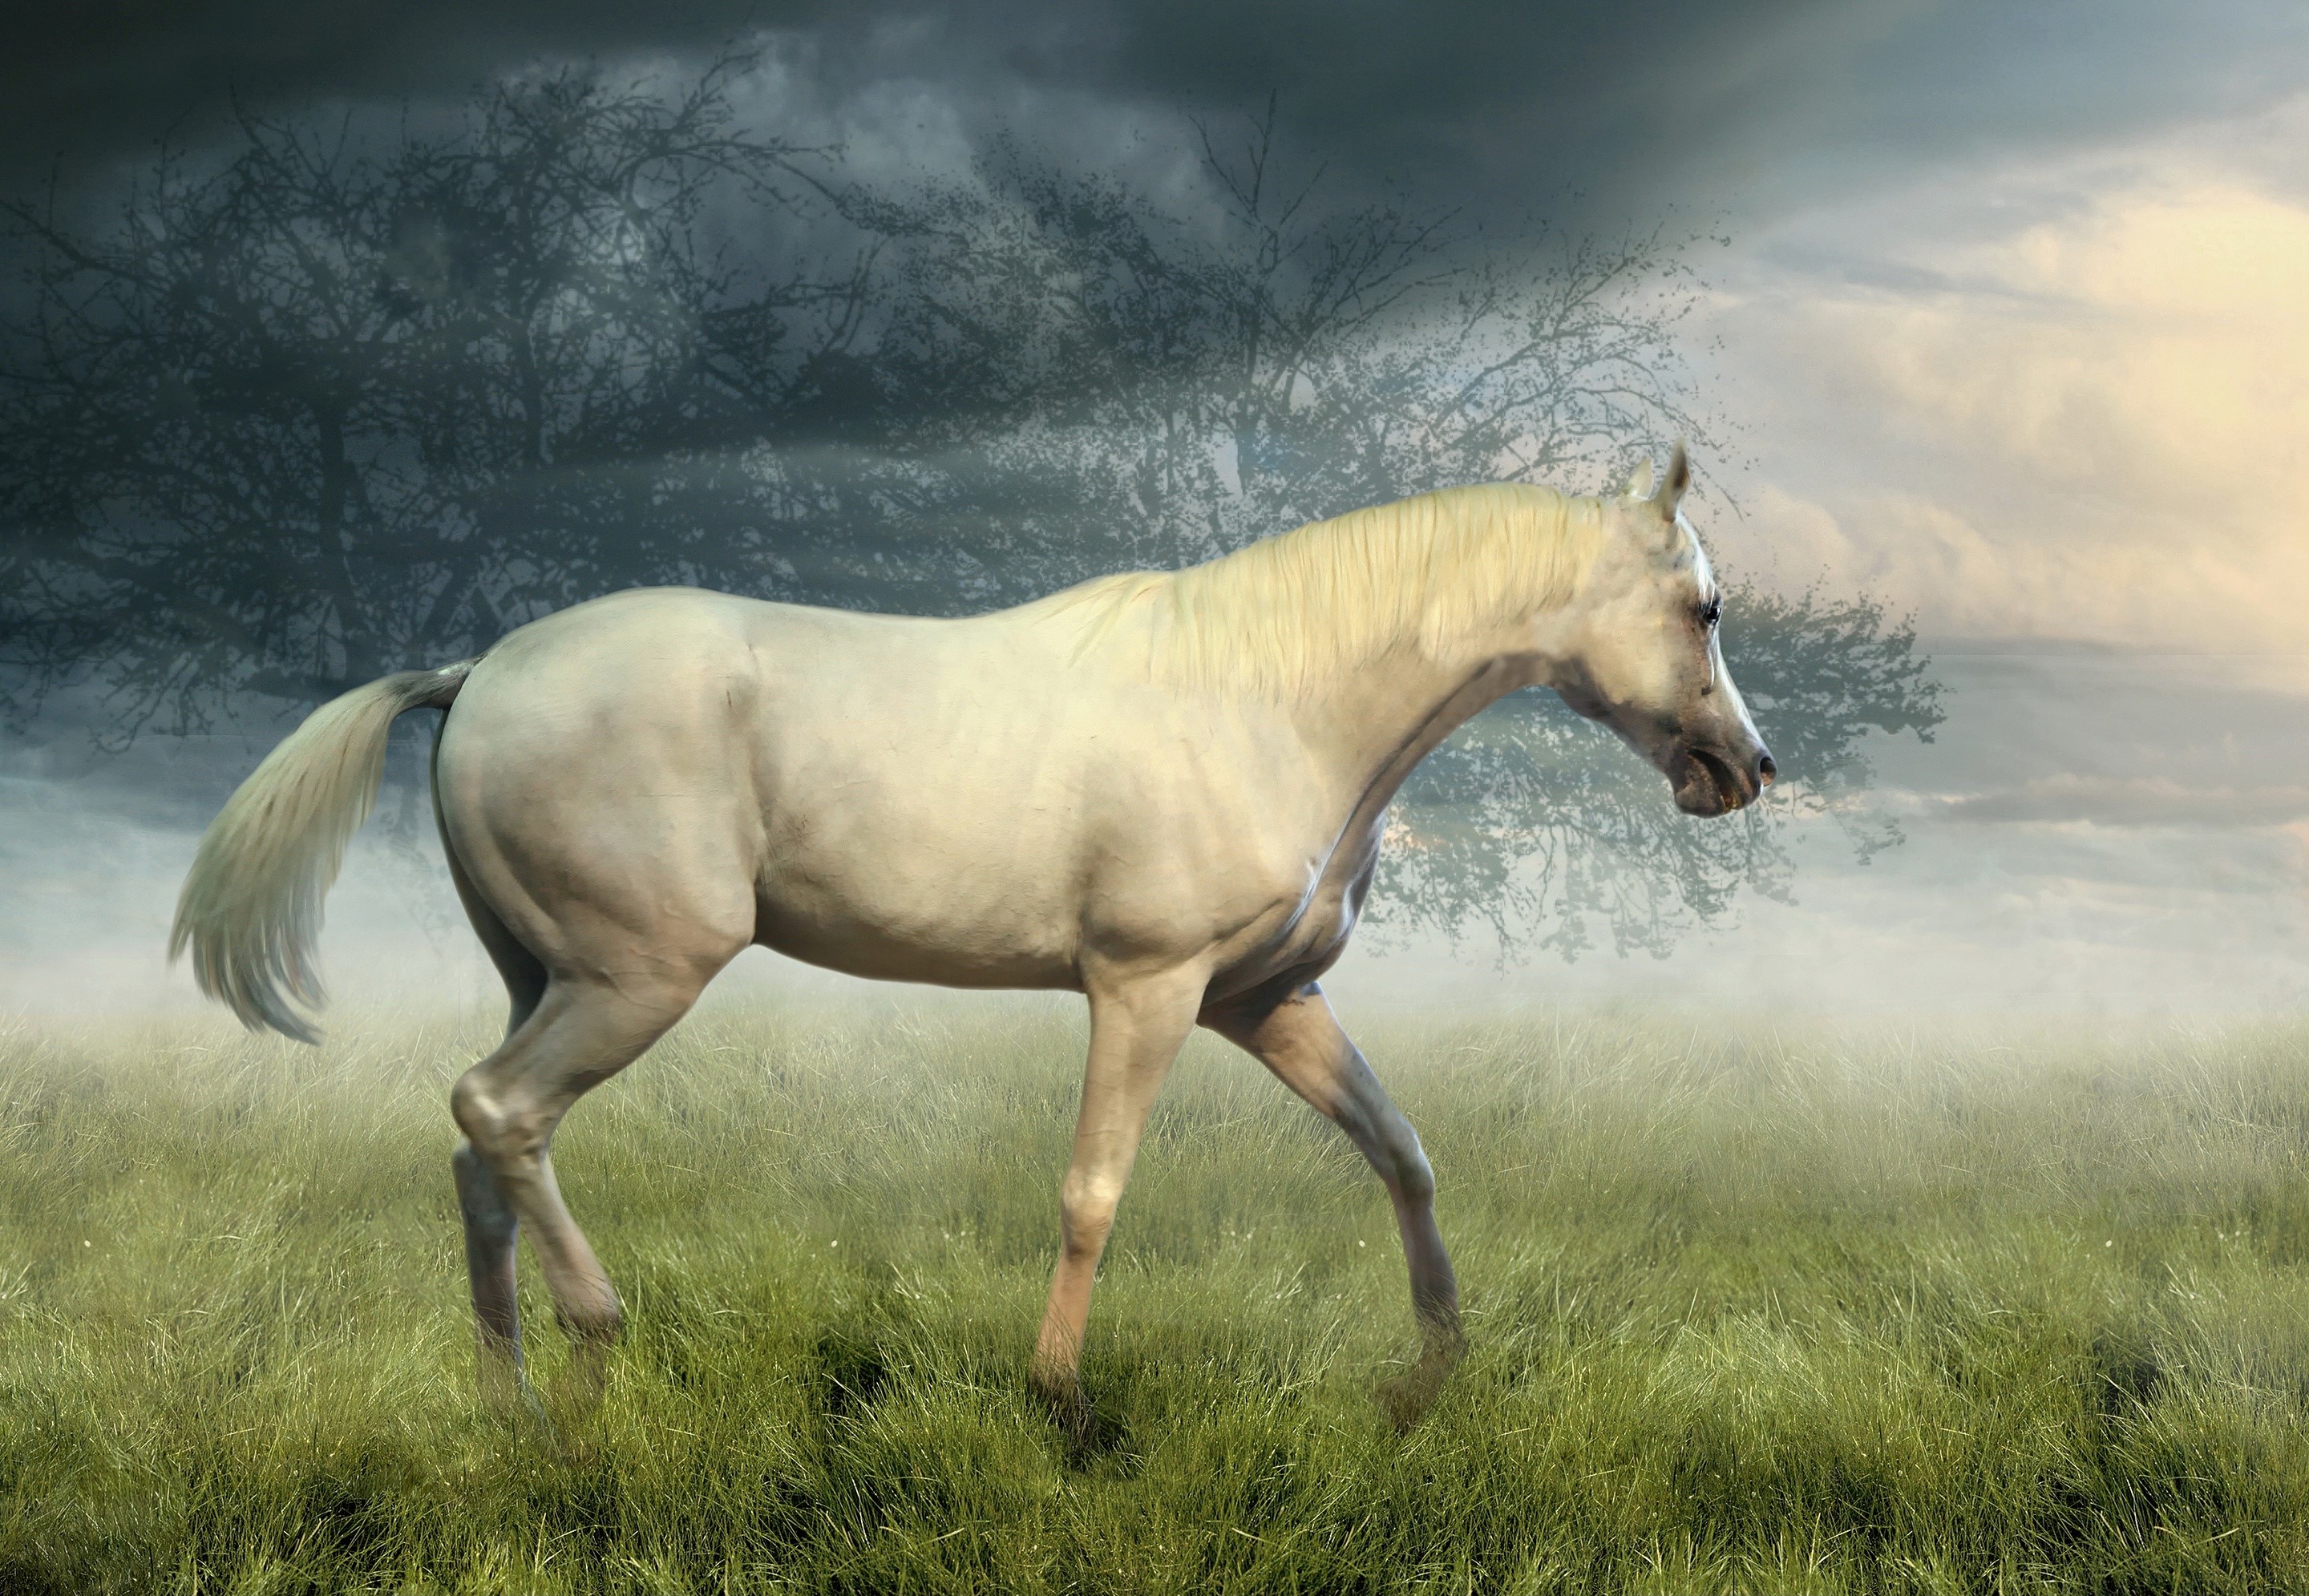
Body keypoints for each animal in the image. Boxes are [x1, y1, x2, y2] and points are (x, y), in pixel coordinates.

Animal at [171, 443, 1773, 1430]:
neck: (1269, 697)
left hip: (544, 976)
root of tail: (477, 671)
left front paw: (1431, 1376)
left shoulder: (1263, 1000)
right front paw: (1060, 1398)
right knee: (496, 1110)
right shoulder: (1146, 986)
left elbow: (1402, 1151)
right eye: (1701, 609)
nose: (1744, 770)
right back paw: (601, 1331)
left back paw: (514, 1406)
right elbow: (1093, 1192)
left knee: (484, 1148)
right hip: (636, 976)